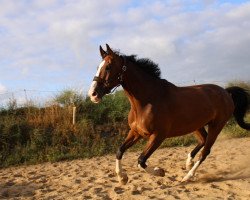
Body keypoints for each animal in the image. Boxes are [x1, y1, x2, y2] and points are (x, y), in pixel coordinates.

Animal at [88, 43, 250, 184]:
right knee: (203, 141)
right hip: (196, 126)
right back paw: (188, 163)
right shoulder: (136, 132)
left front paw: (160, 172)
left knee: (205, 151)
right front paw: (122, 178)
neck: (148, 100)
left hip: (217, 126)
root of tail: (226, 93)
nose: (93, 94)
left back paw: (187, 177)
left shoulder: (158, 136)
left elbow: (141, 161)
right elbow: (119, 151)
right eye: (98, 67)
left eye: (108, 67)